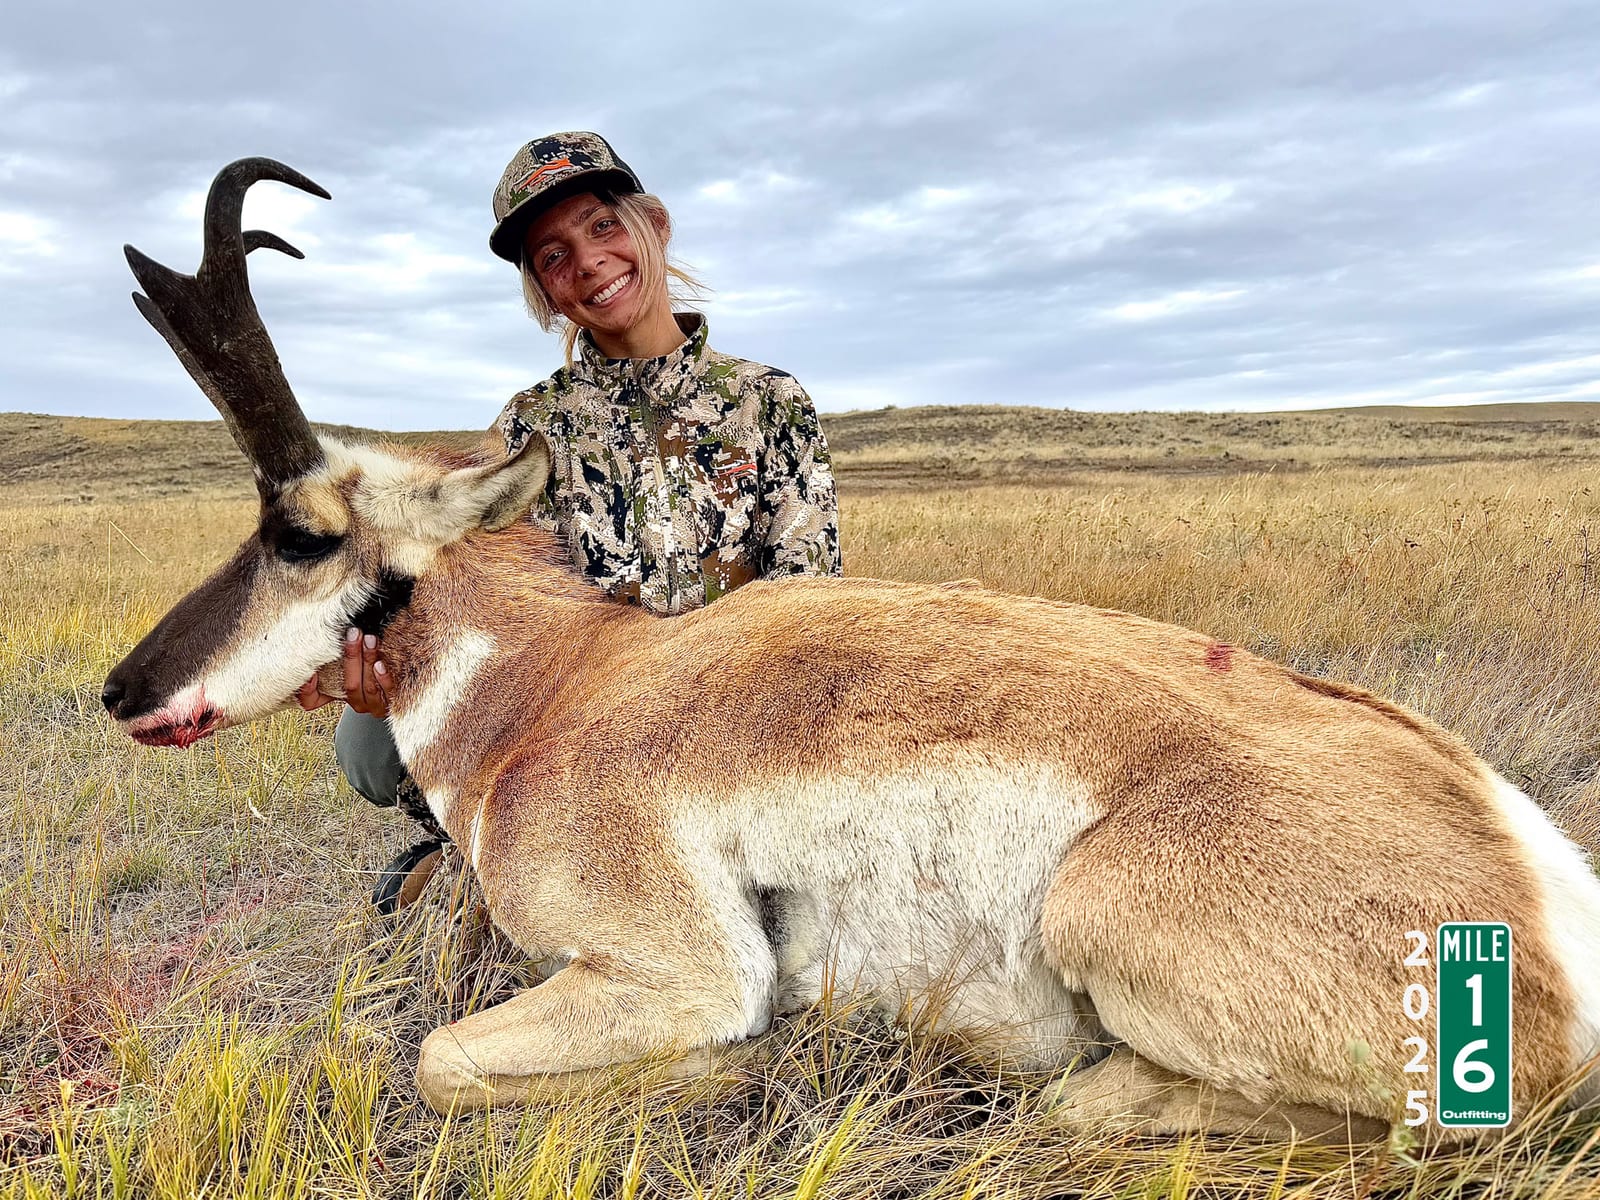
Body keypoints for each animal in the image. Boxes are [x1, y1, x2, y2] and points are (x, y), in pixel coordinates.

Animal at [103, 158, 1600, 1141]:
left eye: (297, 532)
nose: (120, 689)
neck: (551, 689)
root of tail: (1531, 895)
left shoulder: (677, 975)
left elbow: (443, 1060)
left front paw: (747, 1066)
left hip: (1099, 912)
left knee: (1121, 1109)